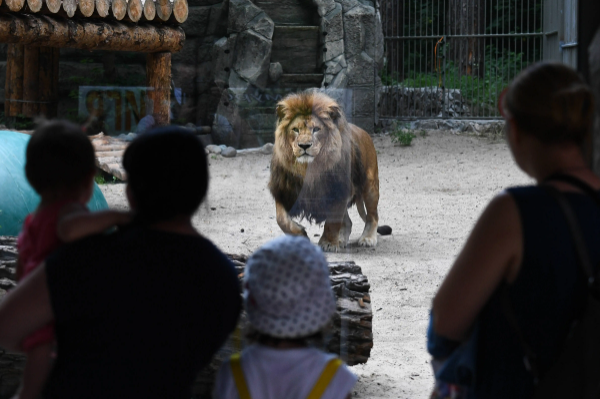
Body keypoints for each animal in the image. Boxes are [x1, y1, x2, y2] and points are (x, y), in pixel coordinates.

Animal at [266, 91, 390, 253]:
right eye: (295, 129)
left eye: (316, 129)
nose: (304, 145)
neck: (308, 169)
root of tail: (364, 132)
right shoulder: (283, 190)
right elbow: (281, 219)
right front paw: (300, 234)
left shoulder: (338, 190)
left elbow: (332, 222)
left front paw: (329, 243)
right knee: (348, 222)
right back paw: (342, 240)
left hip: (370, 187)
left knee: (373, 216)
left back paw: (367, 238)